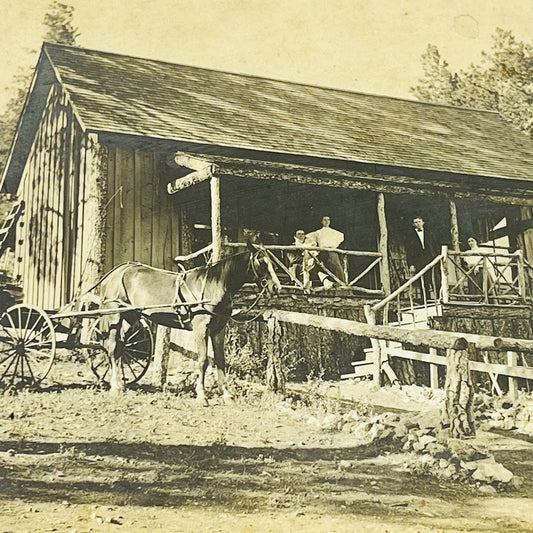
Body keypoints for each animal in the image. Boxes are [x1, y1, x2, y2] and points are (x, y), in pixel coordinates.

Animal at [90, 242, 282, 404]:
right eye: (261, 261)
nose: (276, 287)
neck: (214, 285)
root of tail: (115, 273)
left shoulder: (218, 330)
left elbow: (220, 360)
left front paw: (226, 393)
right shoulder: (201, 329)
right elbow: (203, 361)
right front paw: (202, 395)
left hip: (131, 317)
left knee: (119, 347)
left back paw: (120, 384)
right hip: (114, 316)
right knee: (112, 347)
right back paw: (115, 386)